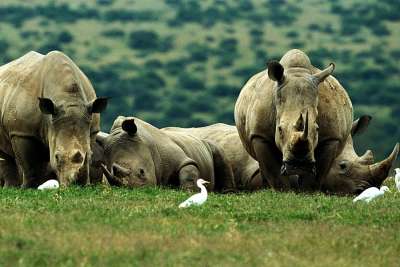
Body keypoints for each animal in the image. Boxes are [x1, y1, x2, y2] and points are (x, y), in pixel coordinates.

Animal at [0, 50, 107, 188]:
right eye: (56, 157)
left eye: (89, 156)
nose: (76, 185)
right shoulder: (21, 131)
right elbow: (29, 165)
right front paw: (28, 188)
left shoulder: (92, 128)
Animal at [96, 116, 234, 192]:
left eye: (142, 172)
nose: (136, 190)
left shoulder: (180, 159)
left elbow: (187, 170)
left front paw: (189, 192)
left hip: (211, 143)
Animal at [234, 48, 354, 191]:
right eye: (280, 129)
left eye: (317, 129)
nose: (299, 166)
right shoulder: (259, 135)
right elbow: (274, 173)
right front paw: (282, 192)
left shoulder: (331, 137)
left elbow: (317, 175)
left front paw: (307, 192)